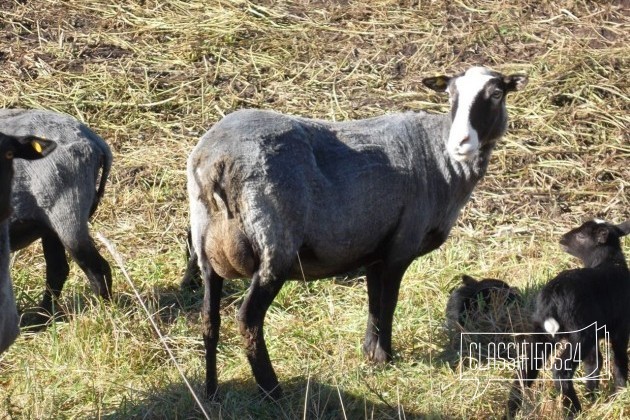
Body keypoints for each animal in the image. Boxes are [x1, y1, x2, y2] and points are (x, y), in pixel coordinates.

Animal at [0, 110, 112, 324]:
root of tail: (94, 141)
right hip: (50, 226)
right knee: (58, 269)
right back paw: (40, 319)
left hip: (68, 214)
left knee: (96, 267)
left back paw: (106, 314)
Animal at [188, 65, 528, 398]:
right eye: (451, 95)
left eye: (496, 94)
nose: (461, 142)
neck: (440, 157)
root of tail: (217, 162)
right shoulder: (401, 246)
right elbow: (388, 302)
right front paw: (386, 357)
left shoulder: (374, 249)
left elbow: (374, 302)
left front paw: (370, 353)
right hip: (274, 246)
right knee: (248, 319)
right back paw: (272, 391)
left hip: (206, 247)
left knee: (209, 319)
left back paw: (211, 391)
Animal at [508, 220, 630, 416]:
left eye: (581, 236)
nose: (562, 239)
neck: (610, 262)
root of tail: (551, 298)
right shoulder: (620, 327)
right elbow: (618, 360)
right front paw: (619, 394)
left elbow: (594, 362)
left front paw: (593, 396)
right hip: (580, 334)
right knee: (561, 369)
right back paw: (573, 410)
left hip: (543, 332)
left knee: (525, 370)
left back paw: (511, 411)